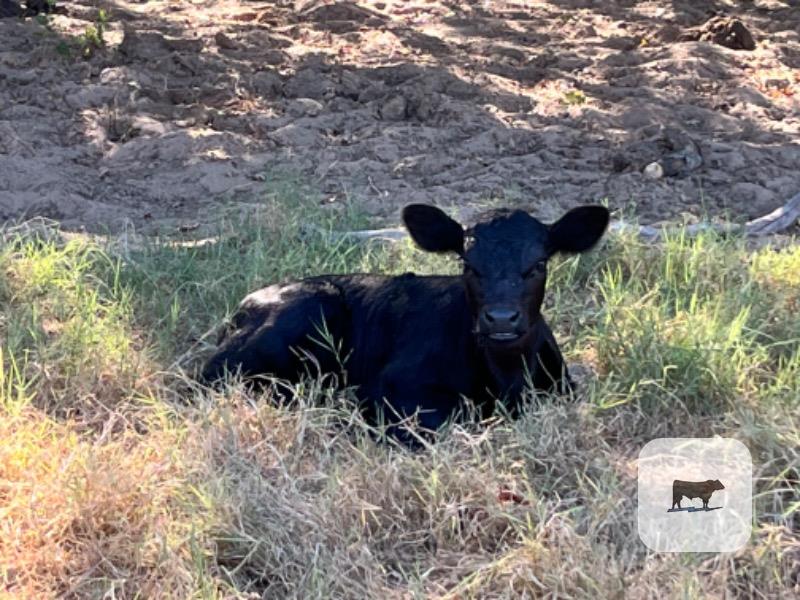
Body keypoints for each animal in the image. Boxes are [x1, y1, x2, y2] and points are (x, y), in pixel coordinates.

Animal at [201, 203, 610, 440]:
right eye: (467, 264)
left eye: (538, 264)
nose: (501, 318)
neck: (507, 376)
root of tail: (247, 303)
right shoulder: (392, 388)